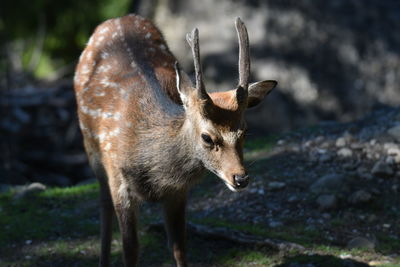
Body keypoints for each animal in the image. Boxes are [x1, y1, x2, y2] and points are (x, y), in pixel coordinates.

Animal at [73, 14, 276, 267]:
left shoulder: (178, 192)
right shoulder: (119, 180)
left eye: (245, 131)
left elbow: (179, 246)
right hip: (93, 152)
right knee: (103, 208)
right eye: (207, 137)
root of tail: (117, 18)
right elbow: (131, 249)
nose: (240, 178)